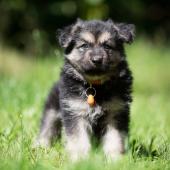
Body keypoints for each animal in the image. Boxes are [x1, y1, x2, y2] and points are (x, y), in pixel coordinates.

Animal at [35, 18, 135, 161]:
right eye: (84, 46)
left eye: (107, 46)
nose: (97, 59)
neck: (95, 85)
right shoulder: (75, 111)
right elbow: (78, 138)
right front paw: (79, 159)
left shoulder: (116, 112)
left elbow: (115, 138)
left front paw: (115, 159)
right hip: (52, 110)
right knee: (47, 128)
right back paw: (40, 146)